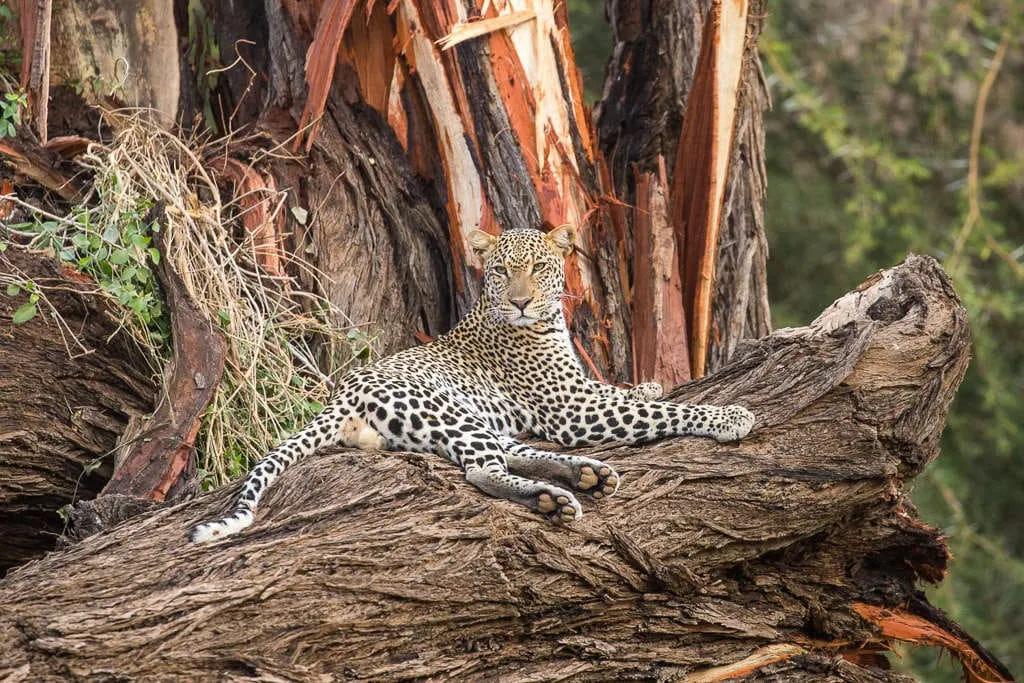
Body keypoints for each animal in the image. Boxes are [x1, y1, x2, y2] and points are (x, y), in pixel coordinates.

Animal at [189, 226, 755, 543]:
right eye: (501, 270)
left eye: (539, 267)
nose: (522, 301)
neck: (546, 322)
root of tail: (340, 396)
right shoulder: (572, 412)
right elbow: (661, 414)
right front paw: (729, 416)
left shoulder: (579, 393)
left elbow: (622, 393)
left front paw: (648, 385)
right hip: (449, 413)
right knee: (483, 471)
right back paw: (554, 497)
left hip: (473, 421)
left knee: (511, 455)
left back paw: (585, 474)